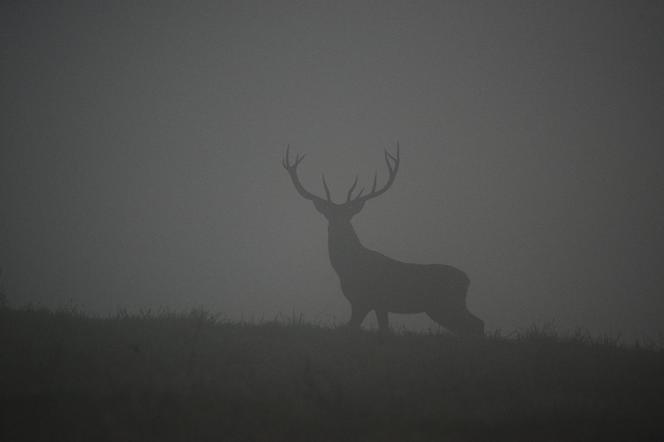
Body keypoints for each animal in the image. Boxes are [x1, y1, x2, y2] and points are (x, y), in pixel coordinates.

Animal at [280, 144, 482, 334]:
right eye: (329, 215)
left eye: (347, 216)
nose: (337, 228)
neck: (348, 268)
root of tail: (468, 280)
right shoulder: (366, 303)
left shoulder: (368, 301)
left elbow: (365, 328)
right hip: (443, 308)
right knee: (473, 324)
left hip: (446, 304)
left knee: (475, 324)